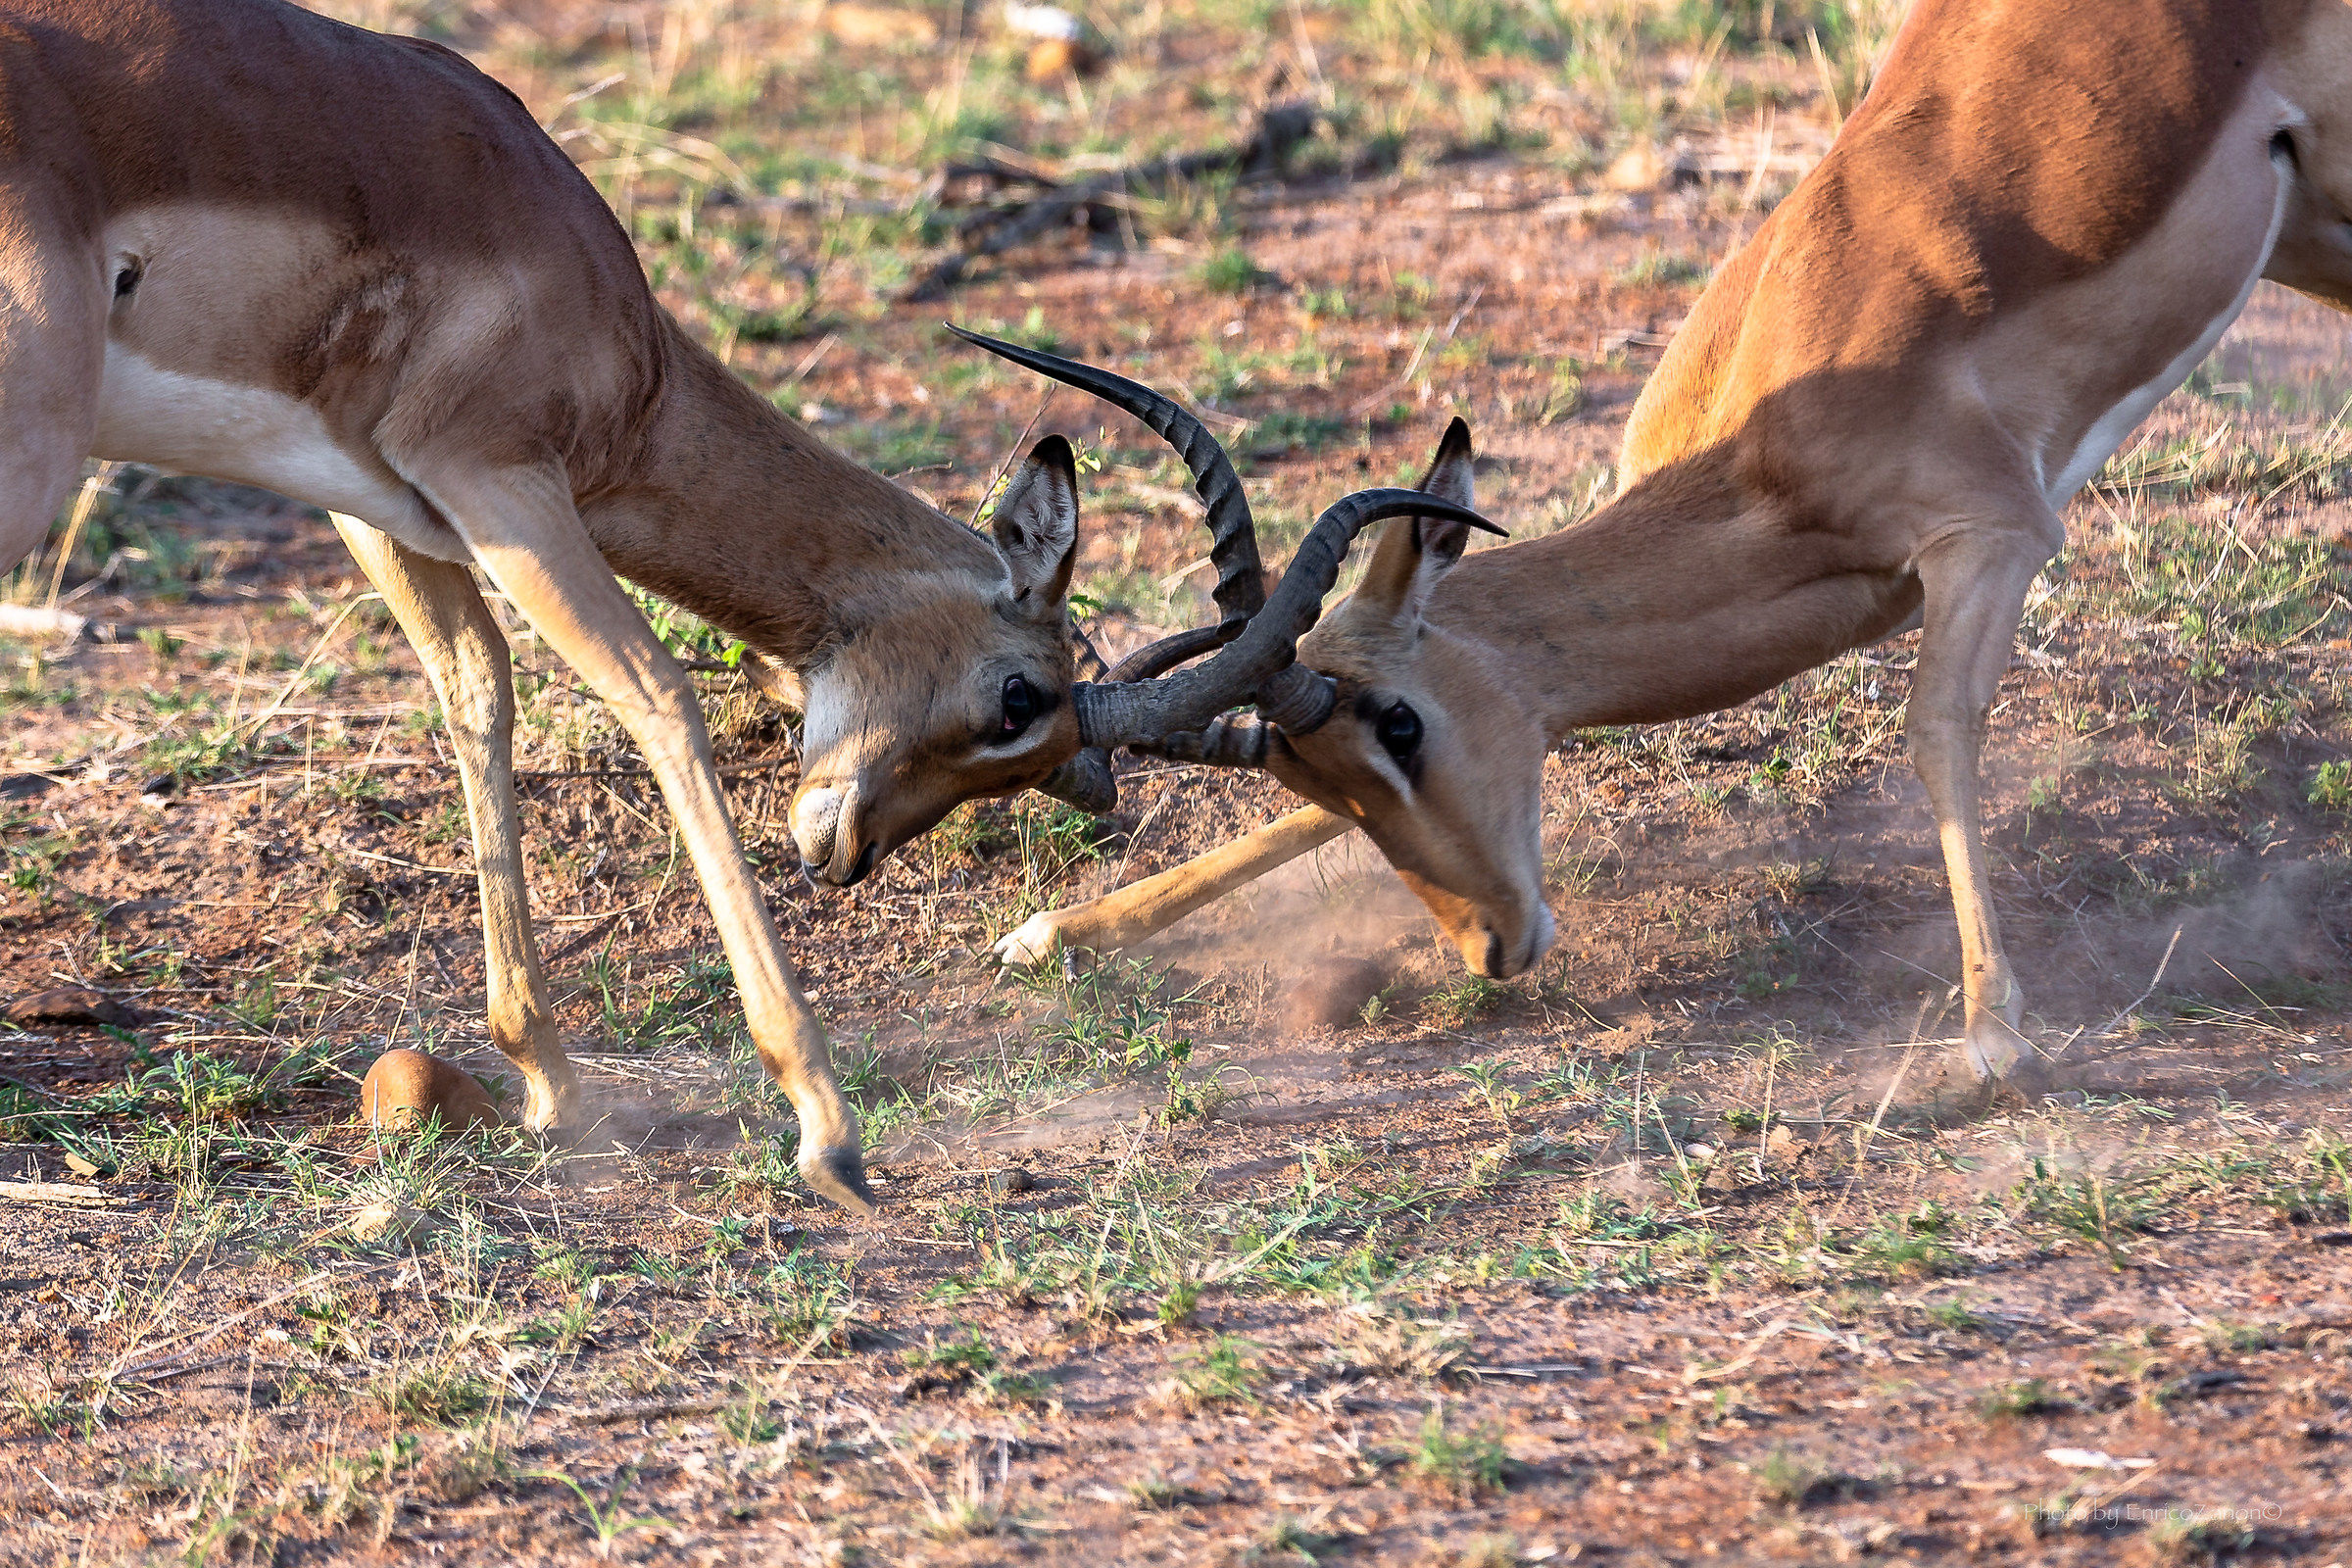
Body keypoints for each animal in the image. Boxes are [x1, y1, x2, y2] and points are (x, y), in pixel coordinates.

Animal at [7, 0, 1485, 1211]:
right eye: (1020, 698)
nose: (844, 852)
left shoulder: (382, 507)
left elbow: (475, 693)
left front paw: (548, 1079)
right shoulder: (500, 481)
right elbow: (660, 697)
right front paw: (829, 1131)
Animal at [984, 0, 2352, 1092]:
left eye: (1405, 724)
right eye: (1311, 773)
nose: (1494, 947)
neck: (1758, 471)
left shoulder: (1991, 534)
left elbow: (1935, 733)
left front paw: (1992, 1043)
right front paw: (1053, 932)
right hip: (2310, 230)